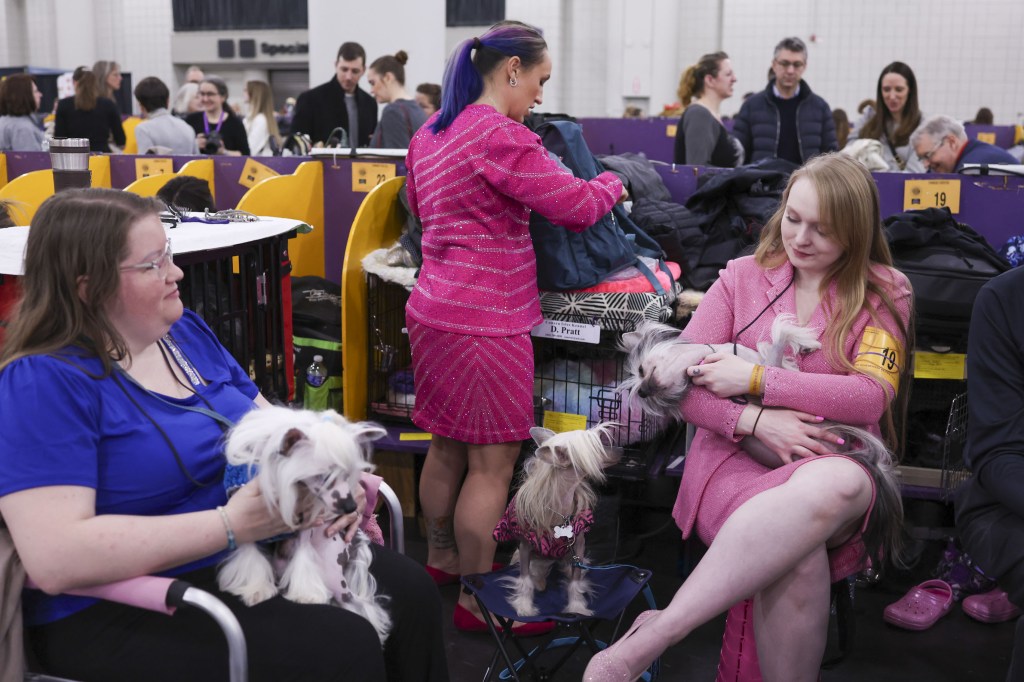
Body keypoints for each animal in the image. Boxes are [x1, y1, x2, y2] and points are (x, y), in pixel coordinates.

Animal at [216, 403, 391, 643]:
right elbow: (249, 554)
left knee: (356, 603)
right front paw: (256, 589)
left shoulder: (304, 529)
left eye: (348, 474)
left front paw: (306, 595)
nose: (351, 508)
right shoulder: (243, 519)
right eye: (324, 476)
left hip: (333, 572)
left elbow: (303, 556)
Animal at [491, 419, 618, 614]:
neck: (559, 510)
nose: (622, 450)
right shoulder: (525, 547)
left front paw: (576, 607)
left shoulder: (578, 546)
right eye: (596, 448)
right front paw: (524, 605)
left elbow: (575, 581)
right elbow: (525, 580)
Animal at [618, 315, 909, 565]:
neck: (705, 359)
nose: (643, 392)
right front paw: (804, 339)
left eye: (641, 369)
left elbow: (780, 347)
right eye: (643, 387)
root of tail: (849, 451)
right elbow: (779, 333)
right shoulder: (770, 368)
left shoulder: (767, 363)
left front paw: (806, 344)